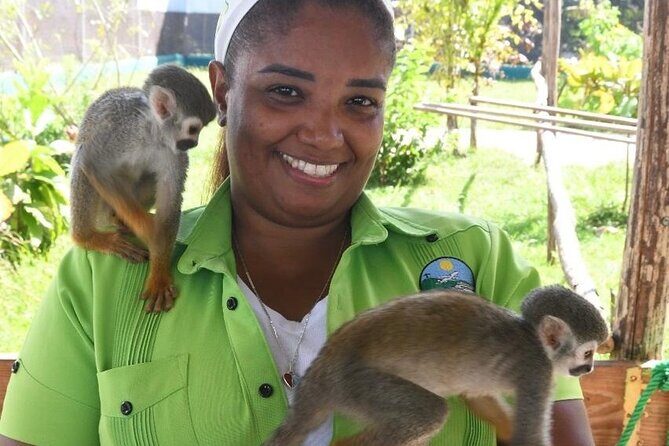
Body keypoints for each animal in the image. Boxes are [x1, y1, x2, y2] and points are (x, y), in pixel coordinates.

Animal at [70, 64, 216, 312]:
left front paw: (159, 272)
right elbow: (92, 163)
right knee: (83, 164)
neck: (152, 135)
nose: (194, 143)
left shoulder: (173, 153)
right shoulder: (121, 132)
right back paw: (88, 237)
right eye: (193, 129)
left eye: (200, 130)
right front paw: (149, 231)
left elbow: (170, 201)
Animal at [264, 285, 609, 446]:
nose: (590, 369)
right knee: (429, 413)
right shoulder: (537, 371)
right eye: (588, 353)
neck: (533, 338)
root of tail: (320, 371)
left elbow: (479, 397)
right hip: (356, 384)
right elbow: (529, 437)